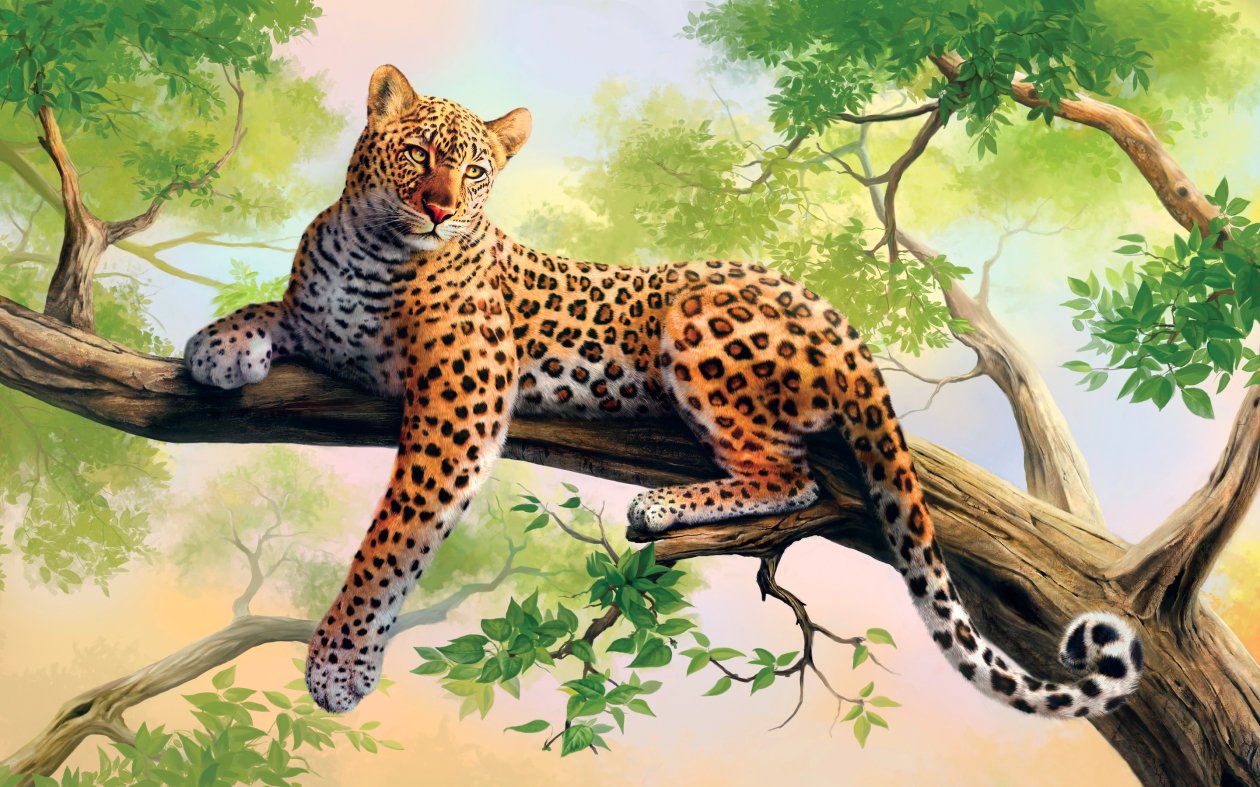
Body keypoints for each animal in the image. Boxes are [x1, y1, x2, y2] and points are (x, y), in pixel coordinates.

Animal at [184, 65, 1144, 717]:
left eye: (477, 171)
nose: (439, 208)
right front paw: (217, 344)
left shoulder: (461, 402)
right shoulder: (329, 325)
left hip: (696, 322)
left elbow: (393, 536)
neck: (373, 248)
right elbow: (279, 308)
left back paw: (661, 506)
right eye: (418, 152)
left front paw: (340, 660)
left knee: (790, 473)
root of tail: (838, 318)